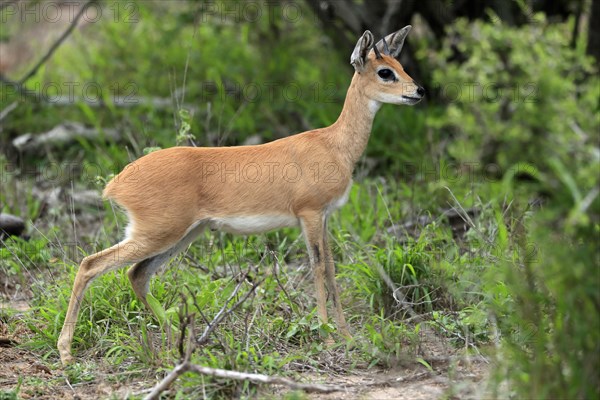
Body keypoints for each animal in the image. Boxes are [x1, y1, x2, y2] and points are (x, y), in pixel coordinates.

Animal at [56, 24, 422, 362]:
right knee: (90, 264)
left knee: (137, 274)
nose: (418, 91)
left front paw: (347, 336)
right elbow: (317, 269)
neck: (334, 145)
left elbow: (331, 270)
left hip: (183, 234)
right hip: (158, 233)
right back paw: (66, 352)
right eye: (384, 71)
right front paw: (328, 337)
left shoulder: (325, 217)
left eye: (400, 64)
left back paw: (184, 342)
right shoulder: (310, 213)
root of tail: (116, 182)